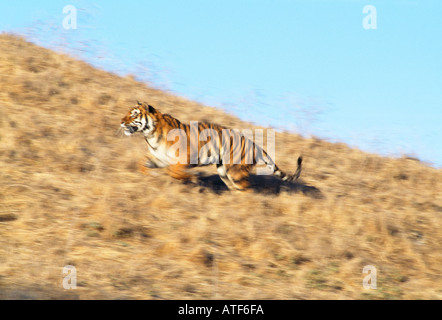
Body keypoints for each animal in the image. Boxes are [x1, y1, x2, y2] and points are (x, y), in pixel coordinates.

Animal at [119, 101, 302, 190]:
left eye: (133, 114)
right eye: (127, 113)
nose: (121, 121)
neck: (150, 135)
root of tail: (256, 145)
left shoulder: (183, 158)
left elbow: (174, 172)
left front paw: (193, 178)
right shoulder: (159, 158)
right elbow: (142, 163)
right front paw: (149, 175)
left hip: (235, 172)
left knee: (247, 190)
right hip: (224, 171)